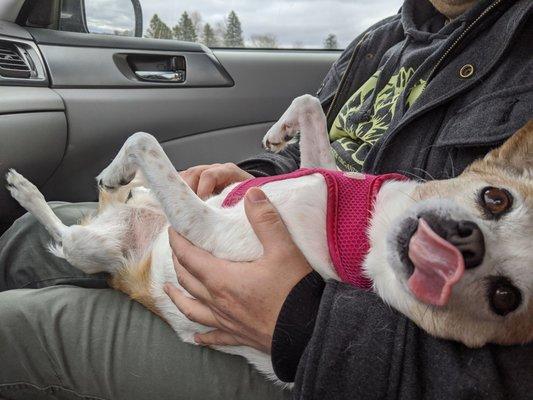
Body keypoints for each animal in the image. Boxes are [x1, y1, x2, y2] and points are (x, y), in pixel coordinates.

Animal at [5, 94, 532, 384]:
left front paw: (119, 164)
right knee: (115, 200)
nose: (465, 243)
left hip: (92, 247)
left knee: (68, 232)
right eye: (496, 198)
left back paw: (40, 189)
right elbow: (312, 106)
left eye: (505, 297)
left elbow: (143, 139)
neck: (359, 227)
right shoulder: (319, 167)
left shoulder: (206, 229)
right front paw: (281, 132)